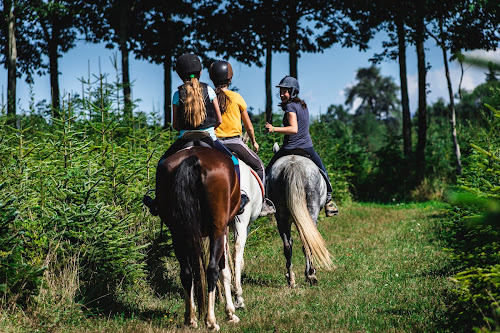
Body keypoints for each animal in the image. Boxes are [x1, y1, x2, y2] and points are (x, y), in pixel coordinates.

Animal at [157, 146, 241, 330]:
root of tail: (193, 158)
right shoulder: (222, 230)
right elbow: (224, 271)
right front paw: (230, 312)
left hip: (178, 234)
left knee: (186, 273)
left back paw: (190, 318)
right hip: (217, 230)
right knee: (212, 269)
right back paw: (211, 321)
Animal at [266, 153, 332, 286]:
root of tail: (292, 164)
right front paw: (310, 273)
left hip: (281, 217)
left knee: (287, 246)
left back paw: (291, 279)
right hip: (311, 211)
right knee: (308, 242)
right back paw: (311, 275)